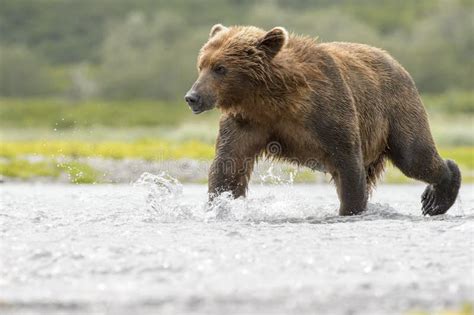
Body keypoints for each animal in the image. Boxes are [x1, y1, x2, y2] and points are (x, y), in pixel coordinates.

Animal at [186, 25, 462, 217]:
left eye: (220, 68)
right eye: (201, 65)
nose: (192, 97)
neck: (274, 100)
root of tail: (394, 60)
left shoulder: (327, 111)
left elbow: (347, 164)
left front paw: (350, 210)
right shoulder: (248, 123)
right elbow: (229, 166)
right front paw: (220, 206)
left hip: (397, 108)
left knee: (414, 156)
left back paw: (437, 197)